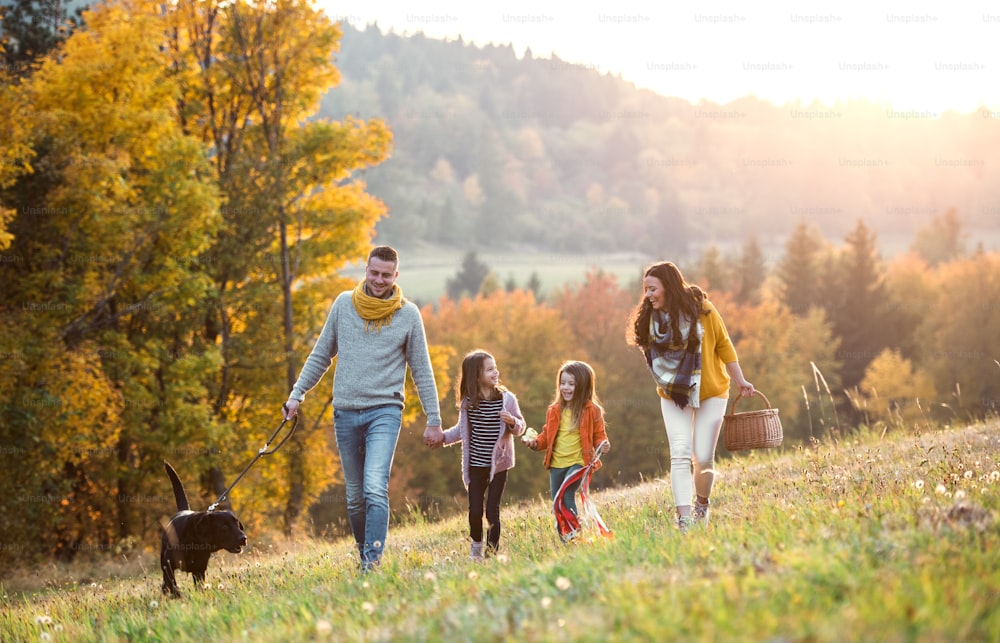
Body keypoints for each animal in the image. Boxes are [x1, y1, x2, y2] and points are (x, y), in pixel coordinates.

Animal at [161, 460, 247, 596]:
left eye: (237, 524)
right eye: (224, 526)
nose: (243, 538)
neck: (194, 540)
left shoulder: (199, 569)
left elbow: (199, 586)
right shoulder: (167, 563)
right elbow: (171, 582)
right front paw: (176, 595)